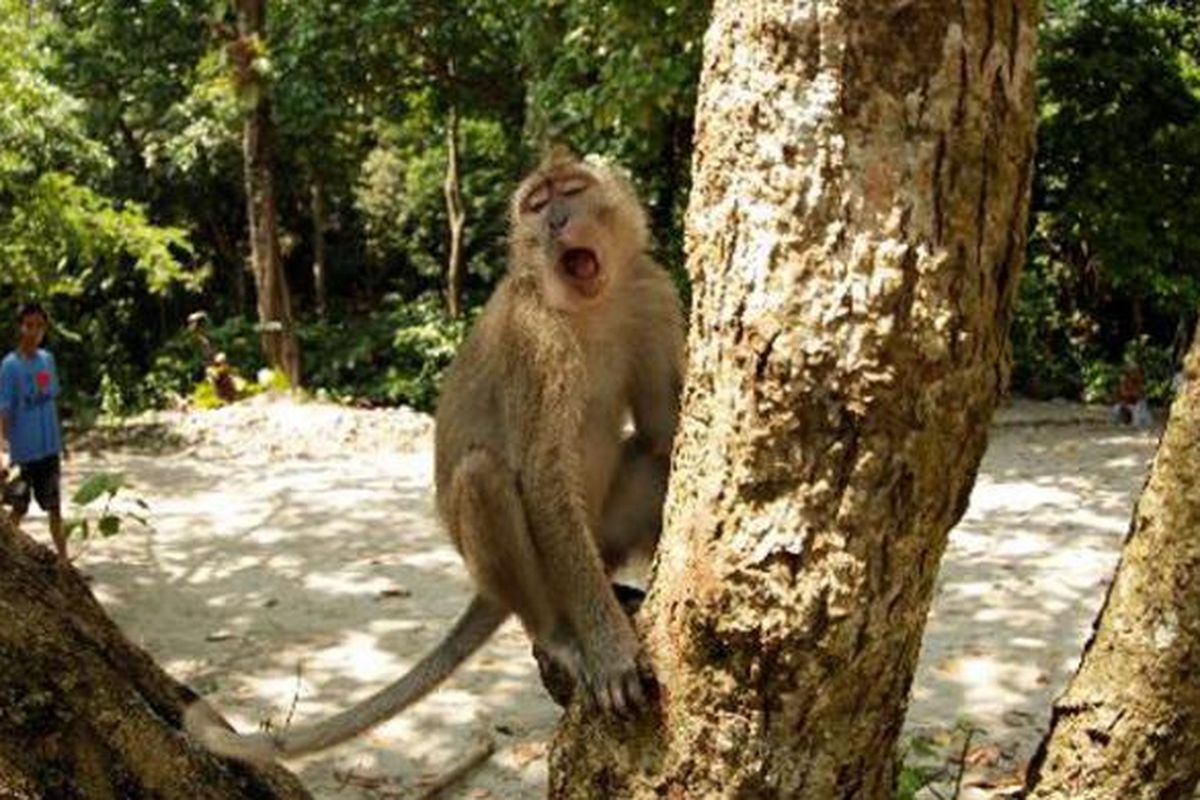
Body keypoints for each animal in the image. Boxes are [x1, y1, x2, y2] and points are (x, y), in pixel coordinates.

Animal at [178, 148, 686, 762]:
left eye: (571, 190)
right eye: (536, 205)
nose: (557, 222)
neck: (593, 306)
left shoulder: (650, 292)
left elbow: (660, 430)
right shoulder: (534, 336)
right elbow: (543, 478)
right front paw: (609, 650)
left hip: (603, 534)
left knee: (648, 460)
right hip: (545, 571)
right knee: (483, 475)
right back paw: (560, 635)